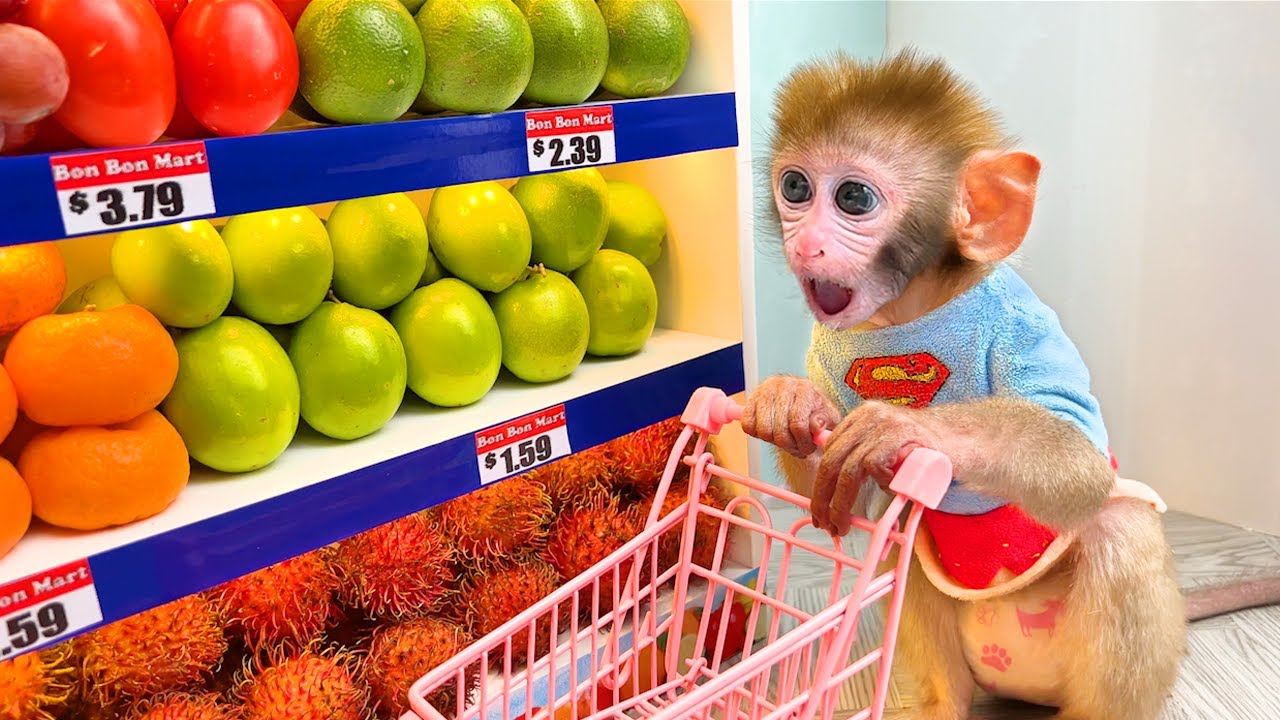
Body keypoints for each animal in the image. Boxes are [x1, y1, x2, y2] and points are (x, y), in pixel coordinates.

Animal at [740, 49, 1280, 720]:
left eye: (853, 198)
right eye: (795, 187)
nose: (806, 242)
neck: (909, 312)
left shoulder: (1019, 322)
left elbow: (1079, 457)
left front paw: (904, 426)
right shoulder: (828, 345)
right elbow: (842, 498)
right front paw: (790, 400)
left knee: (1119, 525)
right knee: (901, 543)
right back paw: (941, 702)